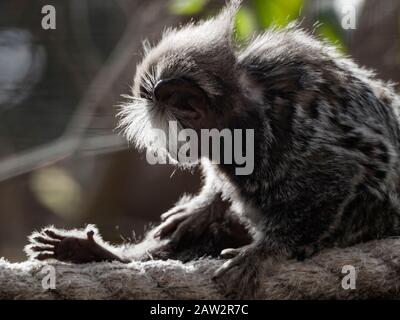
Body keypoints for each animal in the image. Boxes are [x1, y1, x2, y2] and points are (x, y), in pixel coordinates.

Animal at [25, 1, 400, 298]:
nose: (169, 150)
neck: (241, 112)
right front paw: (203, 209)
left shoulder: (287, 133)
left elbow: (337, 175)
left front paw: (265, 252)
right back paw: (101, 254)